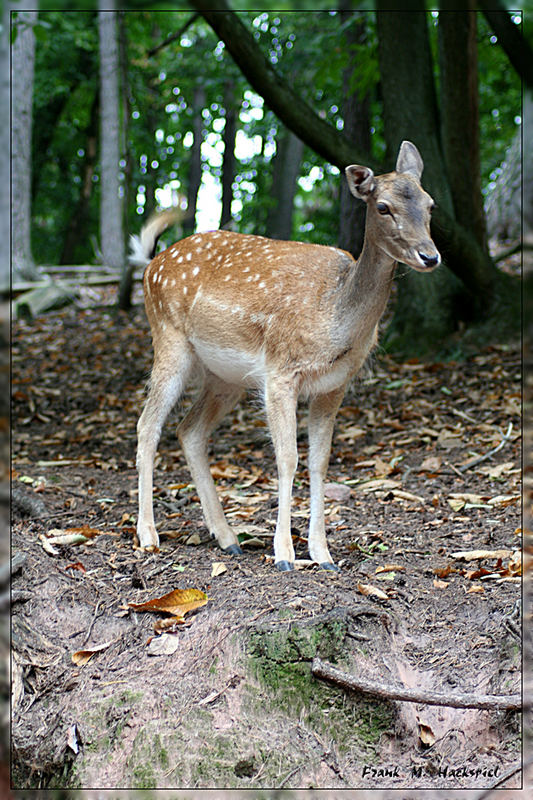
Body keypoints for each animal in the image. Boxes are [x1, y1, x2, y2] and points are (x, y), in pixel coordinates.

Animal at [131, 141, 438, 572]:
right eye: (383, 207)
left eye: (430, 205)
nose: (430, 256)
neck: (335, 318)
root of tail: (150, 265)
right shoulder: (280, 371)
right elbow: (287, 458)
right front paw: (284, 554)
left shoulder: (334, 386)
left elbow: (319, 461)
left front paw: (323, 554)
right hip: (169, 340)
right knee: (147, 425)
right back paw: (148, 535)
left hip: (225, 377)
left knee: (189, 430)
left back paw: (228, 538)